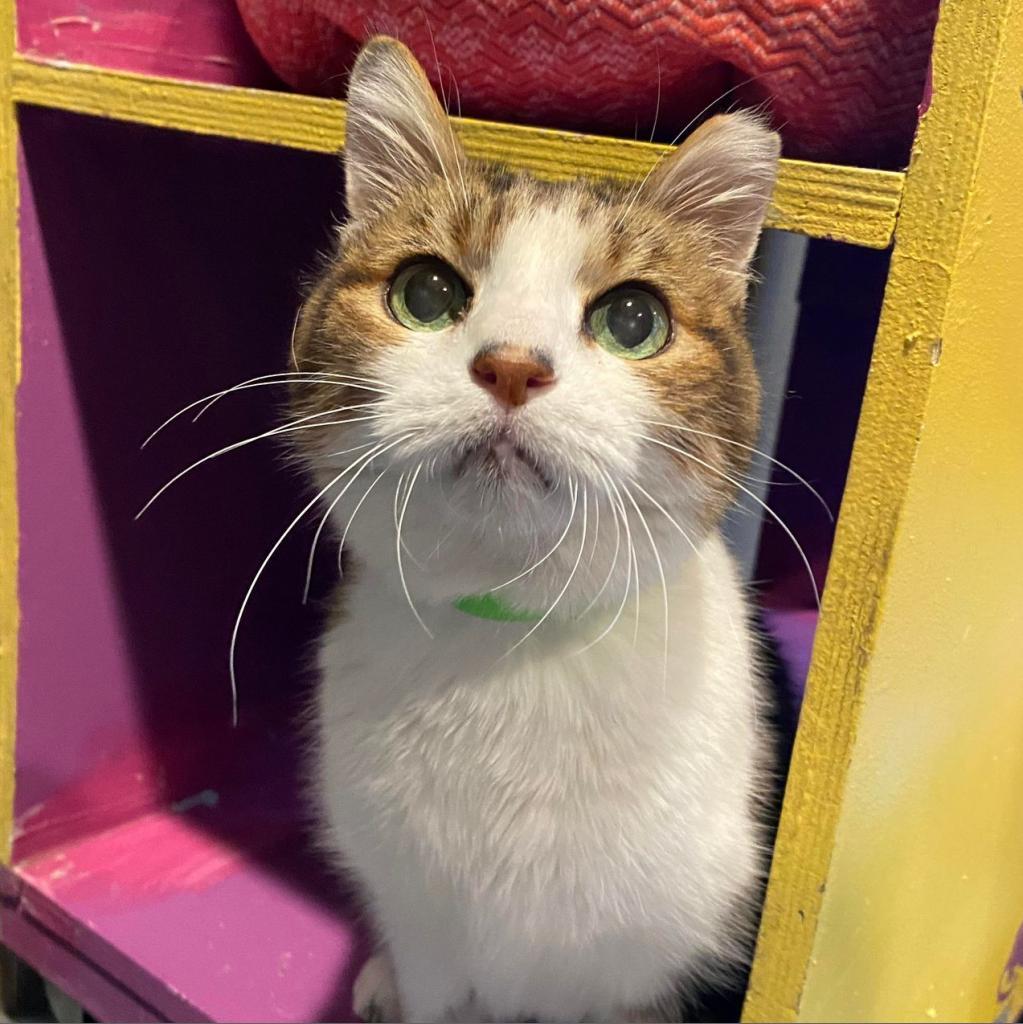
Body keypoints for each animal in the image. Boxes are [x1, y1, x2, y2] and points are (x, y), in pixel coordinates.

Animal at [290, 36, 782, 1019]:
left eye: (633, 318)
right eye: (425, 291)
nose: (511, 366)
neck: (508, 639)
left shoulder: (630, 970)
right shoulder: (424, 925)